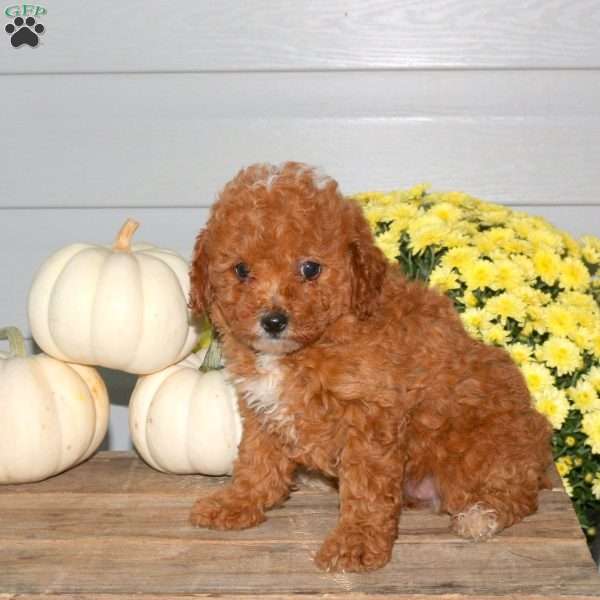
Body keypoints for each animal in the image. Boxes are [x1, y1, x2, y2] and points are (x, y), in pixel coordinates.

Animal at [189, 163, 552, 572]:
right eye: (240, 270)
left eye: (310, 269)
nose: (274, 321)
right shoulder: (262, 410)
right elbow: (256, 461)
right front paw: (238, 501)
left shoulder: (370, 419)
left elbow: (365, 489)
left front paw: (355, 542)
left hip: (478, 450)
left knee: (517, 494)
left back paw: (481, 516)